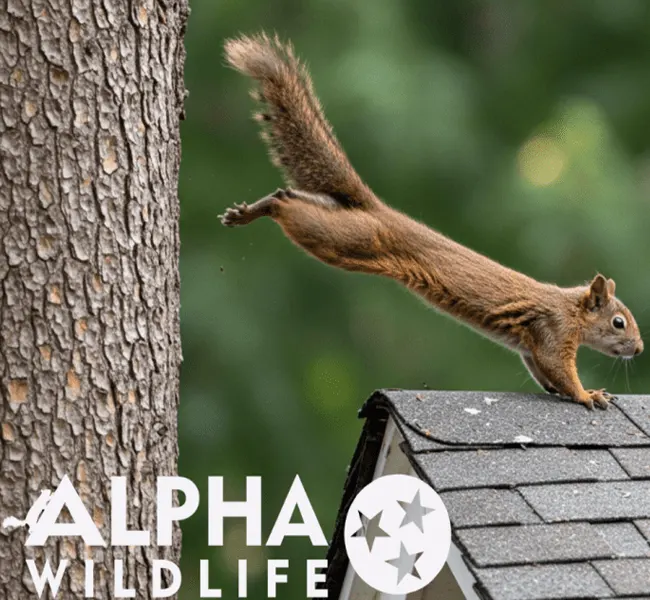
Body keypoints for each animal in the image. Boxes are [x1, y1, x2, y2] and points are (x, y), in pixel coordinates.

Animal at [220, 32, 644, 410]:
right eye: (618, 322)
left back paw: (249, 210)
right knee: (290, 207)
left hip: (340, 225)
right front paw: (588, 395)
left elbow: (543, 372)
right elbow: (559, 368)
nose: (639, 349)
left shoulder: (531, 346)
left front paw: (571, 392)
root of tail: (378, 209)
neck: (571, 308)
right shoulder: (554, 330)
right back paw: (262, 209)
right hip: (350, 240)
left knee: (294, 196)